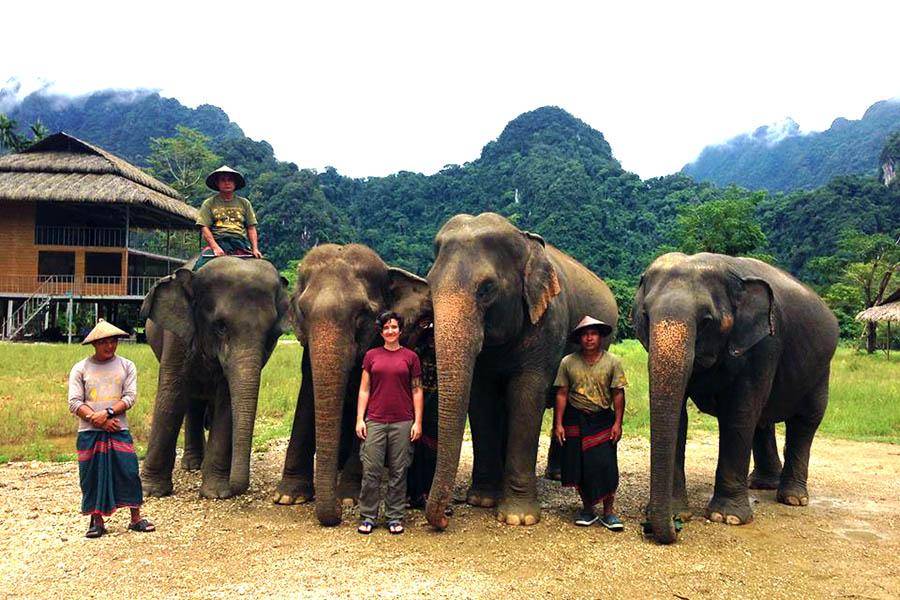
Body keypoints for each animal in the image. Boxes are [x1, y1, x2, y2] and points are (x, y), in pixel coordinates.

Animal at [140, 256, 290, 499]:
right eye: (220, 326)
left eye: (272, 333)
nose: (235, 488)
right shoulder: (177, 336)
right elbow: (171, 392)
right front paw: (151, 492)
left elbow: (226, 399)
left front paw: (216, 493)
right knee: (190, 400)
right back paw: (192, 466)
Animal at [273, 244, 432, 526]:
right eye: (303, 312)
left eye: (362, 315)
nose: (336, 516)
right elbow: (308, 396)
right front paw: (288, 497)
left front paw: (347, 498)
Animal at [424, 212, 618, 529]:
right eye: (428, 286)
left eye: (487, 289)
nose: (443, 518)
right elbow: (482, 398)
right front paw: (481, 500)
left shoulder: (548, 321)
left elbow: (527, 395)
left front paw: (518, 517)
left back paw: (556, 476)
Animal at [633, 252, 839, 543]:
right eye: (645, 316)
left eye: (706, 320)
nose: (672, 528)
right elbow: (680, 419)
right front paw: (678, 512)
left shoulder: (765, 344)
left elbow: (740, 413)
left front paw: (726, 518)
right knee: (763, 422)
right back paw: (762, 484)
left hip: (821, 370)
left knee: (805, 421)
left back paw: (793, 499)